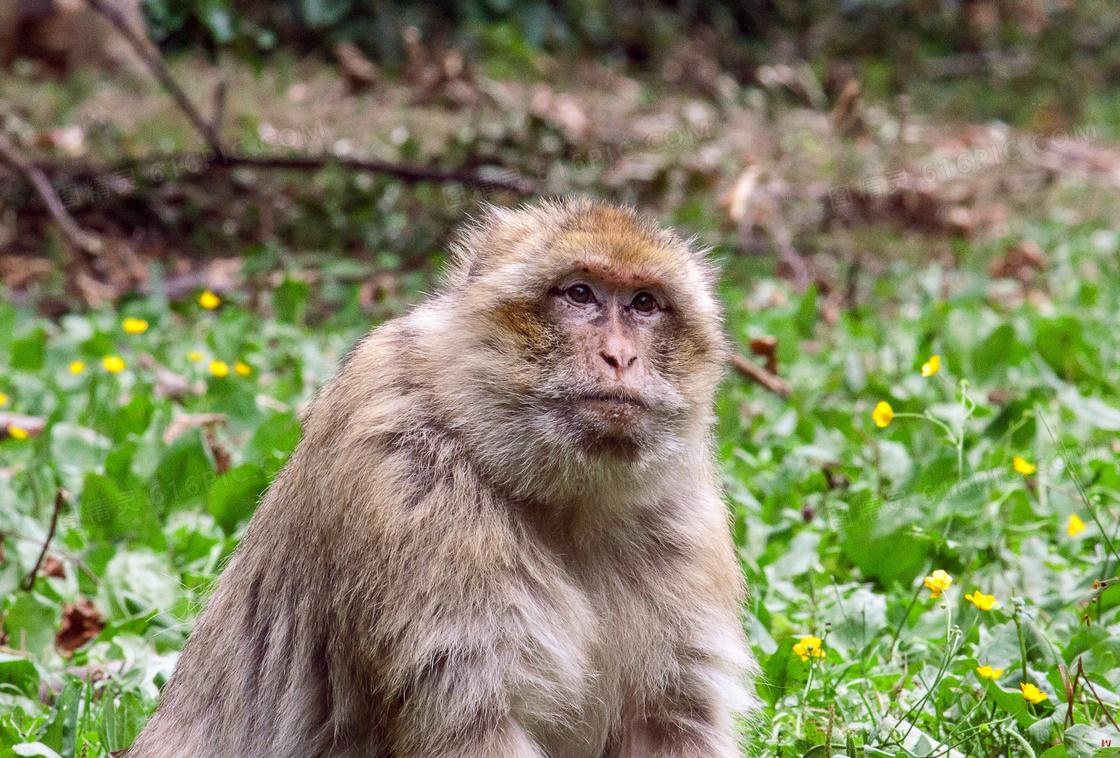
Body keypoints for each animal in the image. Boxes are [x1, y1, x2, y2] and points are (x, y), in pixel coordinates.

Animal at [124, 198, 761, 752]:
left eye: (645, 304)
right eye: (580, 293)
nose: (620, 357)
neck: (562, 502)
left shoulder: (679, 512)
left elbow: (673, 720)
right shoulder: (408, 484)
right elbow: (471, 720)